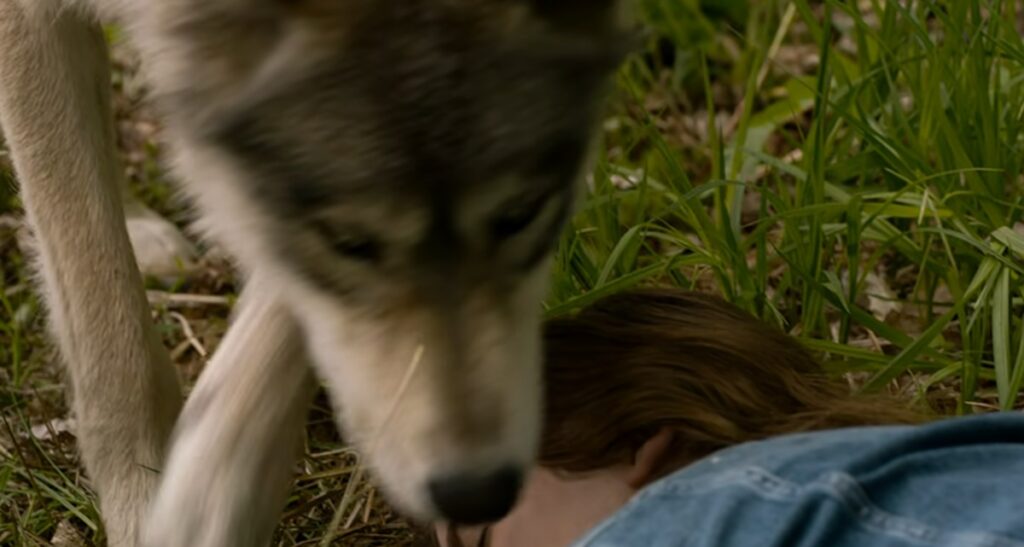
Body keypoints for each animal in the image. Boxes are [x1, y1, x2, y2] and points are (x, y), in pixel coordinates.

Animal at [0, 0, 631, 545]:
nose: (477, 492)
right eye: (350, 241)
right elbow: (111, 343)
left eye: (521, 214)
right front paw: (144, 501)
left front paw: (211, 489)